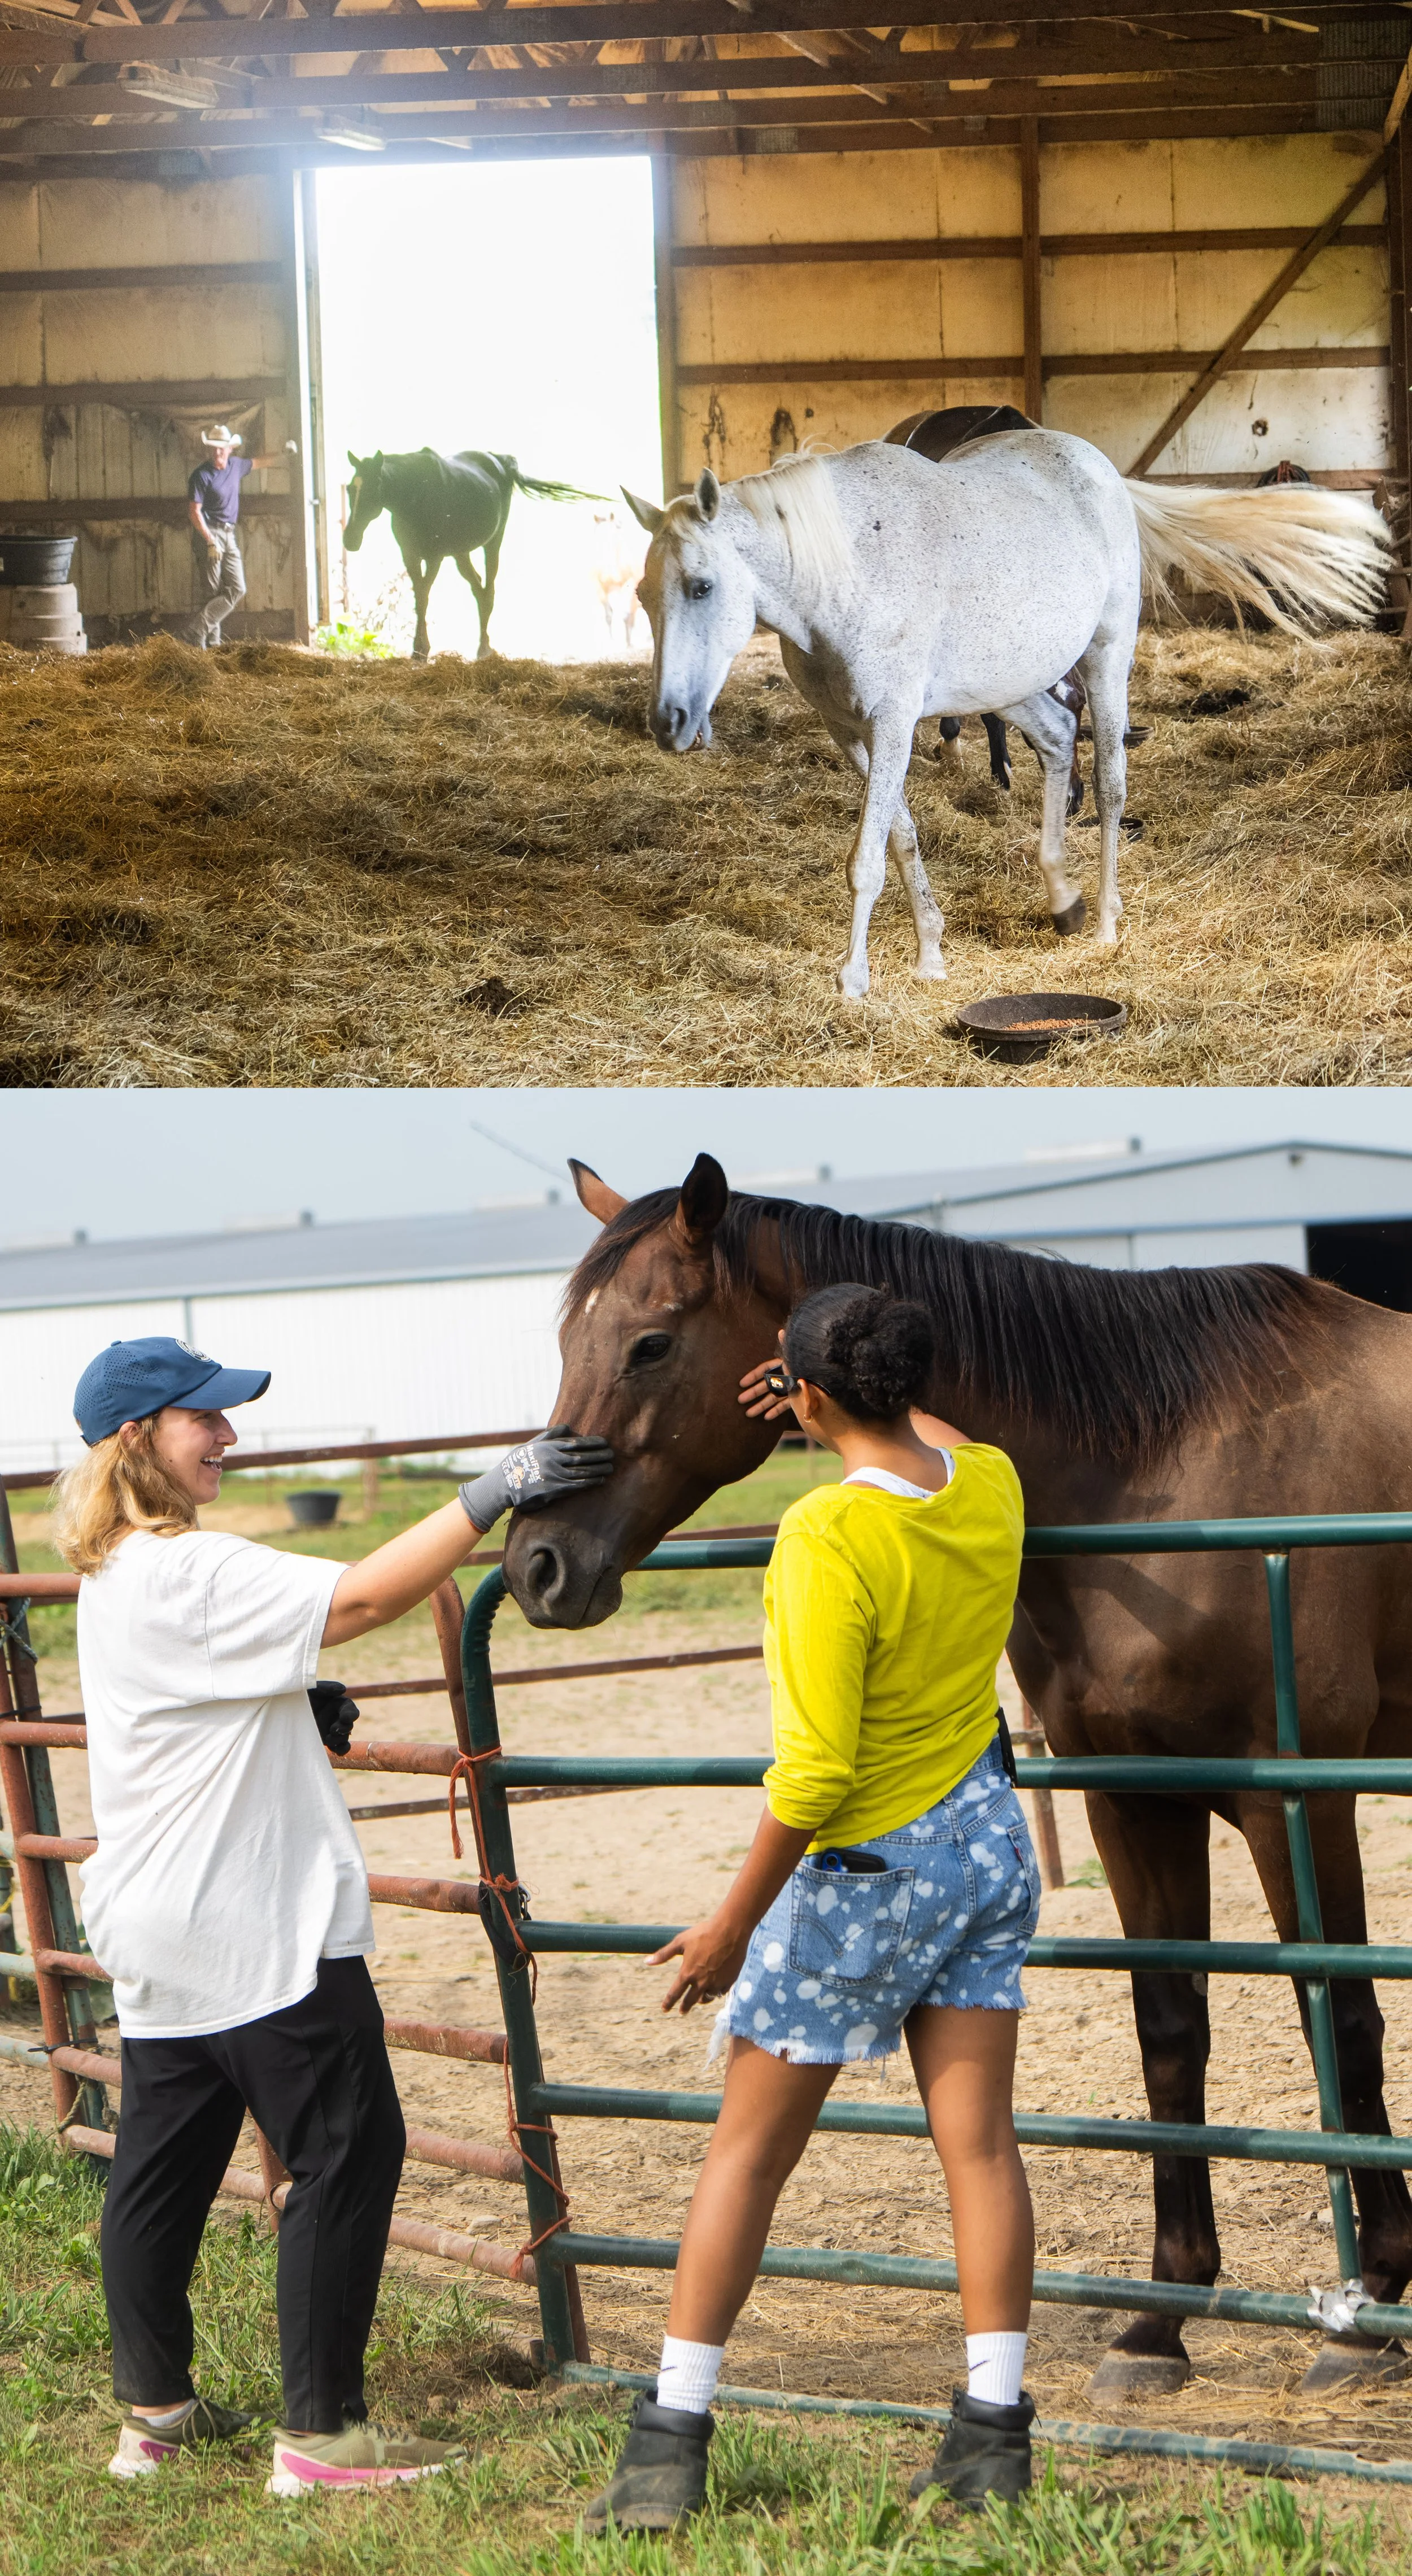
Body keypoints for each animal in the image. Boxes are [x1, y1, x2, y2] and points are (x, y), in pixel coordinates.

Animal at [343, 446, 600, 660]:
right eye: (349, 488)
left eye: (373, 487)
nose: (350, 540)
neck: (416, 495)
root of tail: (499, 459)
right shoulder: (410, 556)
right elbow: (419, 599)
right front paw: (418, 650)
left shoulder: (435, 557)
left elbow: (424, 597)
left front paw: (422, 650)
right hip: (461, 553)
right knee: (478, 588)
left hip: (493, 543)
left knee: (489, 591)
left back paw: (484, 649)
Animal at [501, 1151, 1412, 2401]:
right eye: (563, 1343)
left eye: (647, 1344)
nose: (535, 1566)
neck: (1166, 1463)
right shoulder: (1130, 1795)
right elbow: (1170, 2030)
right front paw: (1159, 2321)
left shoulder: (1300, 1797)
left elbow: (1345, 2019)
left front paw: (1368, 2310)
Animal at [622, 438, 1387, 998]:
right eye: (641, 593)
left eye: (702, 586)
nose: (669, 721)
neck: (847, 571)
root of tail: (1101, 469)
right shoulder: (851, 733)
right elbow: (901, 839)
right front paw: (930, 954)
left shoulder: (892, 723)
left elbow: (865, 860)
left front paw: (854, 979)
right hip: (1013, 683)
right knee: (1055, 740)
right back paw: (1061, 896)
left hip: (1106, 656)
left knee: (1109, 784)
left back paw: (1104, 921)